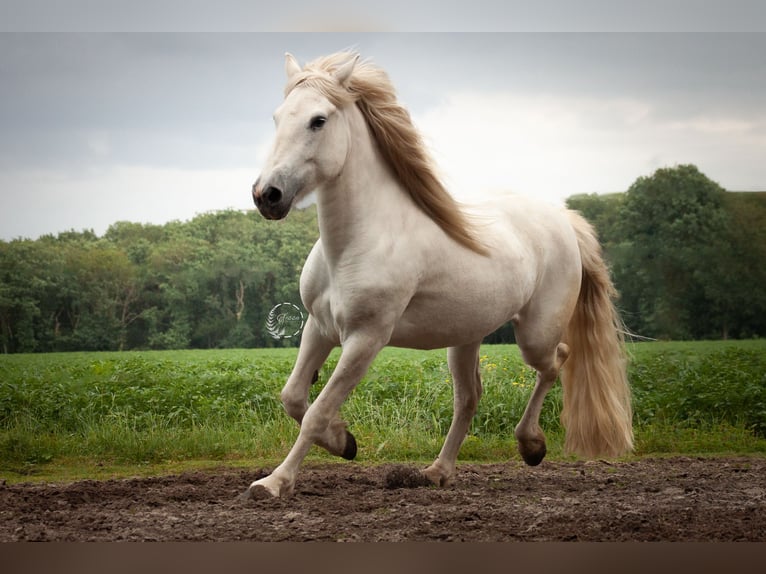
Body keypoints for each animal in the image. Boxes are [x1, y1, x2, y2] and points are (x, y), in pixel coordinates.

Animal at [248, 50, 636, 500]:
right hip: (465, 337)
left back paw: (531, 445)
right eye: (277, 117)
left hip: (534, 335)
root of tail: (564, 220)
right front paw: (344, 441)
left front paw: (274, 482)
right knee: (469, 398)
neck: (354, 243)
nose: (266, 195)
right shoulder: (319, 327)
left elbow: (316, 411)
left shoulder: (365, 339)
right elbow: (293, 397)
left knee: (557, 360)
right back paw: (438, 471)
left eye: (318, 120)